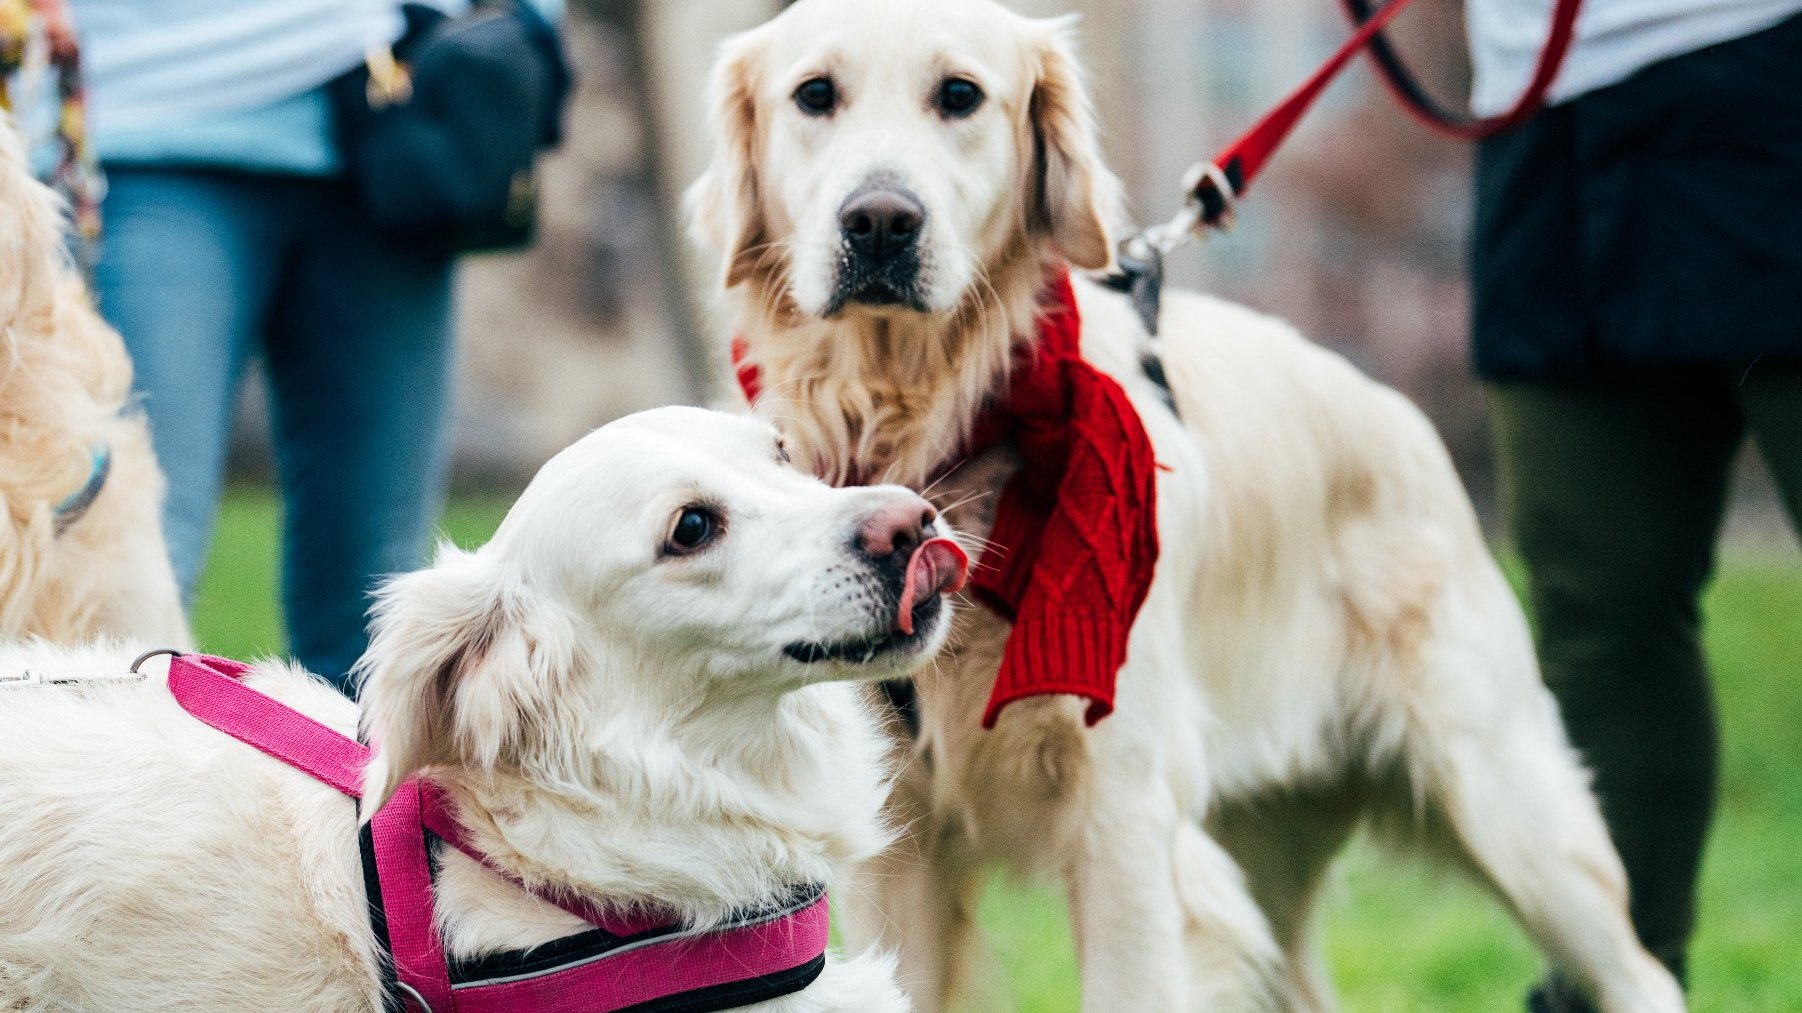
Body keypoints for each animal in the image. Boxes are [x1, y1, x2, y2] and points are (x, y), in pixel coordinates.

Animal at [691, 1, 1686, 1009]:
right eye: (816, 95)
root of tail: (1403, 415)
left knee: (1637, 968)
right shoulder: (897, 842)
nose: (881, 222)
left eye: (960, 95)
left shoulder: (1124, 815)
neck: (929, 422)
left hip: (1508, 802)